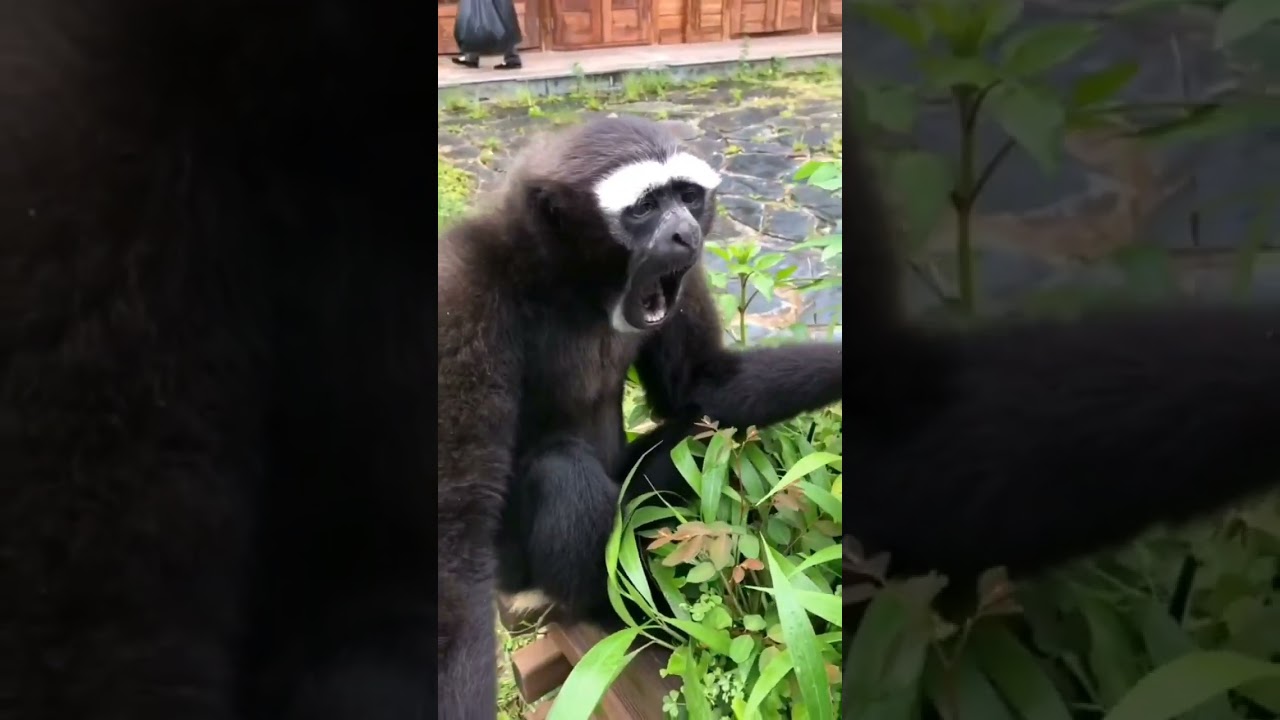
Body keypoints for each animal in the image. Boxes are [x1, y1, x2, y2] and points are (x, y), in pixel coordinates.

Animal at [436, 115, 845, 715]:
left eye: (688, 197)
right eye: (646, 208)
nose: (685, 232)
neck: (574, 284)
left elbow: (702, 388)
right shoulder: (461, 290)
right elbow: (455, 529)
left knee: (698, 438)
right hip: (513, 566)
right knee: (563, 471)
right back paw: (620, 615)